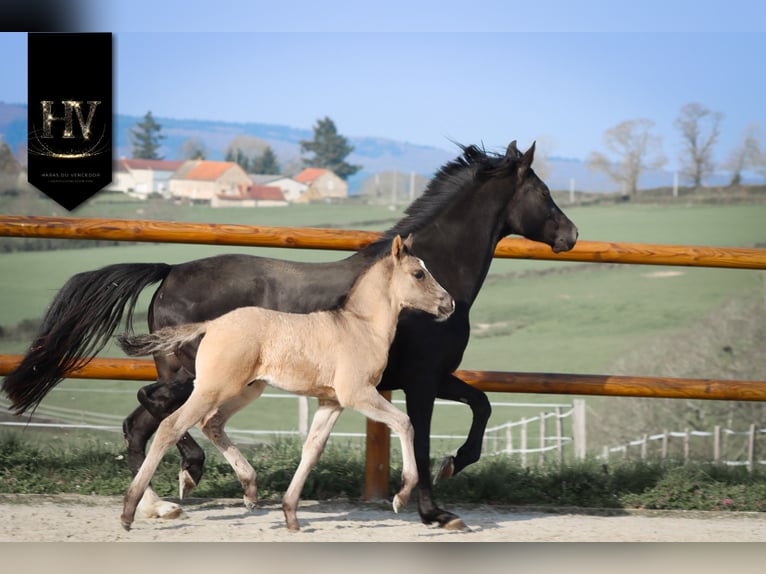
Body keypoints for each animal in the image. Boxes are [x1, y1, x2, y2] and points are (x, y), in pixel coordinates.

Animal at [116, 234, 455, 531]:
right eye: (419, 273)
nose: (448, 303)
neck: (360, 327)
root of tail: (211, 325)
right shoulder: (357, 393)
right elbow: (404, 423)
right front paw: (401, 496)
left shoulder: (332, 401)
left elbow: (313, 449)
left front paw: (290, 514)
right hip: (213, 388)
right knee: (171, 426)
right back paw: (134, 508)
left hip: (247, 389)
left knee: (210, 423)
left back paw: (249, 489)